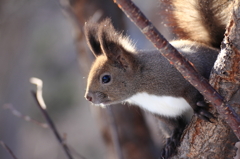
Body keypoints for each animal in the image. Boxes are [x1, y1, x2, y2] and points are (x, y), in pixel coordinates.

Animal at [83, 0, 232, 158]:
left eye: (105, 78)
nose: (88, 97)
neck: (141, 89)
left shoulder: (185, 74)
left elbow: (192, 91)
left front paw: (199, 108)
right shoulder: (159, 112)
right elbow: (173, 125)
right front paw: (171, 140)